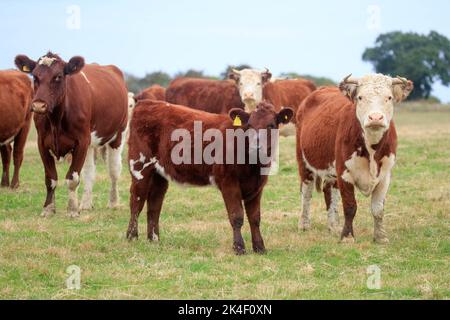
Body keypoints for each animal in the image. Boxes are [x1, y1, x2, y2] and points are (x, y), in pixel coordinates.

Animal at [15, 52, 128, 218]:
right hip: (90, 144)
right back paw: (86, 204)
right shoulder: (42, 143)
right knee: (89, 172)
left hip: (118, 135)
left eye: (58, 76)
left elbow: (72, 178)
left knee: (114, 171)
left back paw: (113, 202)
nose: (38, 105)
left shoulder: (81, 141)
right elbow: (50, 178)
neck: (56, 120)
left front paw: (72, 209)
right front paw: (48, 209)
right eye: (34, 76)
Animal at [125, 100, 294, 255]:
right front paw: (239, 247)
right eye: (250, 125)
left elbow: (255, 218)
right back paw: (132, 237)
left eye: (271, 125)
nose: (255, 146)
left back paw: (154, 239)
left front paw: (259, 247)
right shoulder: (228, 182)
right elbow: (237, 216)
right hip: (140, 166)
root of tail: (147, 103)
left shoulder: (257, 187)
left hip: (159, 174)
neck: (254, 166)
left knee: (154, 204)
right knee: (136, 201)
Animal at [296, 74, 414, 242]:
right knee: (306, 191)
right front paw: (347, 237)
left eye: (389, 97)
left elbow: (378, 209)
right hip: (304, 162)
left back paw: (334, 226)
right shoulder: (345, 174)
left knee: (330, 191)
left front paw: (380, 237)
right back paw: (304, 224)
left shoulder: (385, 176)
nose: (375, 117)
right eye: (360, 97)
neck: (372, 149)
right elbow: (350, 206)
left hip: (333, 171)